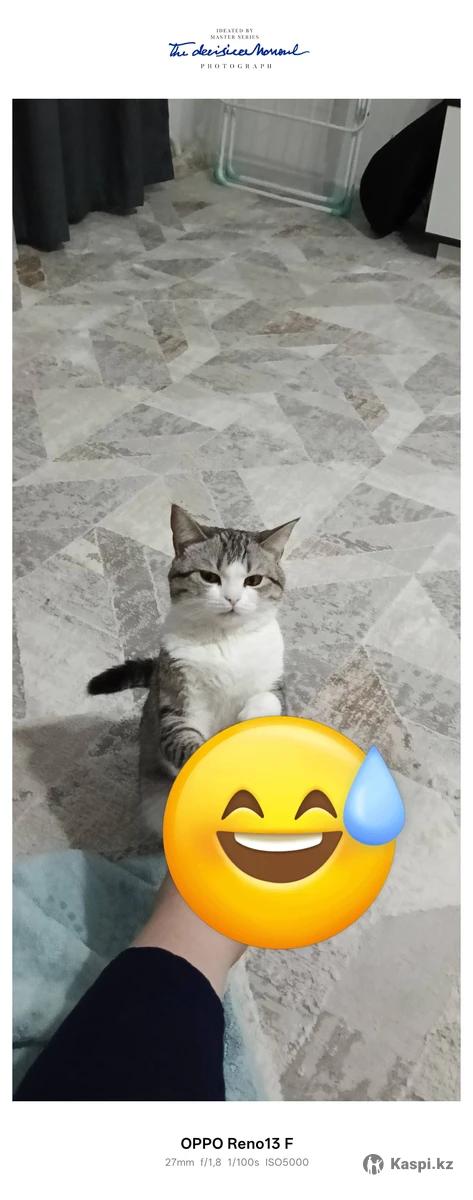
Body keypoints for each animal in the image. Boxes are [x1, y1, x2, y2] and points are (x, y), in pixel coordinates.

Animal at [88, 503, 298, 833]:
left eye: (253, 580)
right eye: (209, 576)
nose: (232, 598)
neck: (227, 641)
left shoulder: (275, 682)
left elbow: (269, 702)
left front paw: (248, 720)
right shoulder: (178, 698)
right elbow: (187, 743)